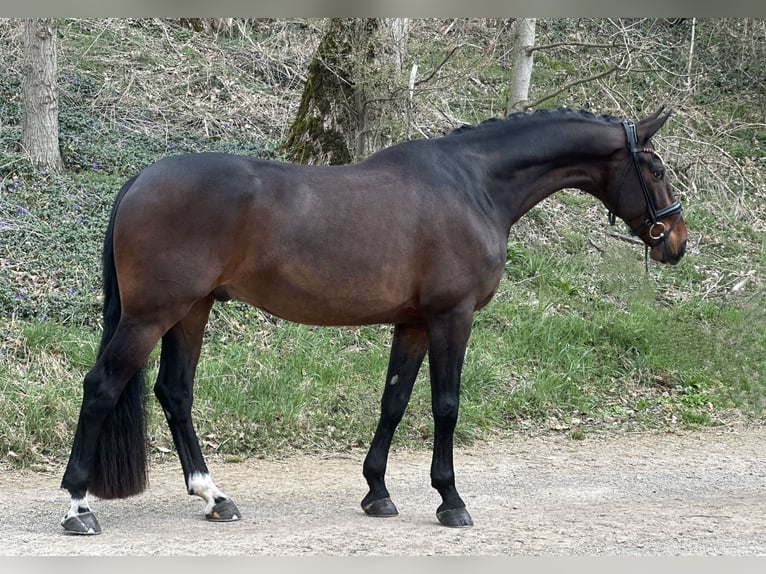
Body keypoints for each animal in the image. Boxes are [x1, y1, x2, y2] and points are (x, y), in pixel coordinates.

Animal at [60, 107, 687, 534]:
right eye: (655, 168)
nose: (676, 241)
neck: (473, 186)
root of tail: (141, 179)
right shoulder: (451, 318)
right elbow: (445, 406)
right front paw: (450, 500)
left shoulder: (412, 324)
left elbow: (393, 401)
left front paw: (377, 493)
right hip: (151, 315)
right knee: (102, 387)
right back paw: (77, 507)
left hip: (192, 310)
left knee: (175, 393)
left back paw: (215, 497)